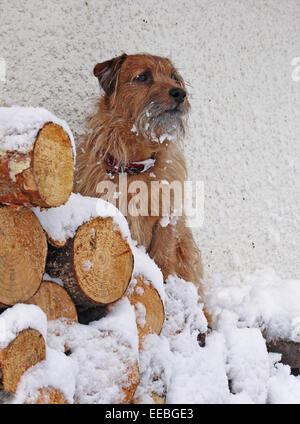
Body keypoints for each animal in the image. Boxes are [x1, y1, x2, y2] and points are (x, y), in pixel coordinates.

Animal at [76, 52, 205, 298]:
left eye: (174, 77)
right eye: (143, 76)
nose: (180, 93)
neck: (137, 166)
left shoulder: (167, 219)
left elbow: (163, 259)